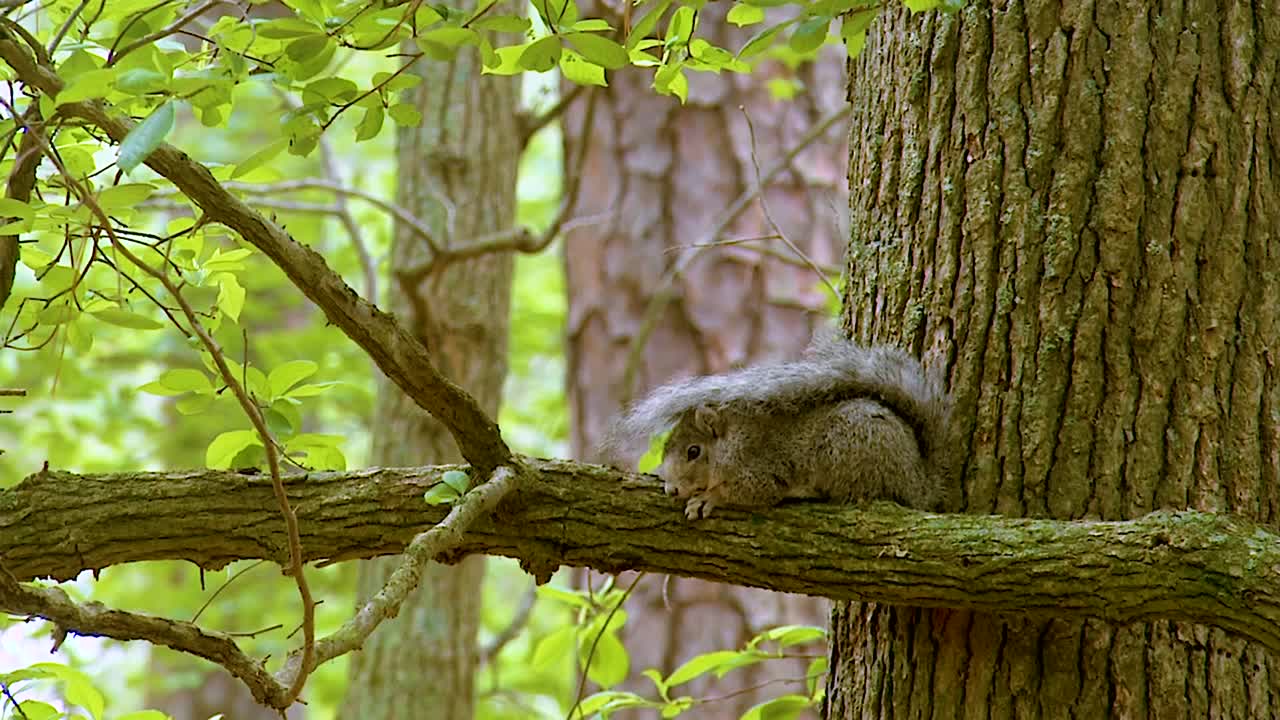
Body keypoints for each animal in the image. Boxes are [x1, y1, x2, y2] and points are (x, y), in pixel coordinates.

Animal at [606, 334, 952, 520]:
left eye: (694, 451)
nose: (672, 489)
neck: (732, 442)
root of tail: (920, 481)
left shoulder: (761, 468)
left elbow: (749, 493)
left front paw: (709, 498)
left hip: (847, 449)